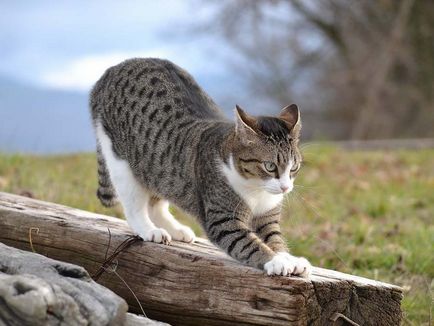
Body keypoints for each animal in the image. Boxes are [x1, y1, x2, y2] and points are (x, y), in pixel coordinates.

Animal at [90, 57, 310, 276]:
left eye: (294, 168)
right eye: (270, 166)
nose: (285, 188)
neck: (256, 190)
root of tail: (112, 69)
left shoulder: (267, 218)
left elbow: (275, 239)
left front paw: (289, 258)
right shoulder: (223, 220)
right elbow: (250, 244)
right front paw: (276, 261)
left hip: (159, 168)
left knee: (156, 201)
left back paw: (176, 230)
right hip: (120, 160)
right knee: (134, 205)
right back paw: (150, 230)